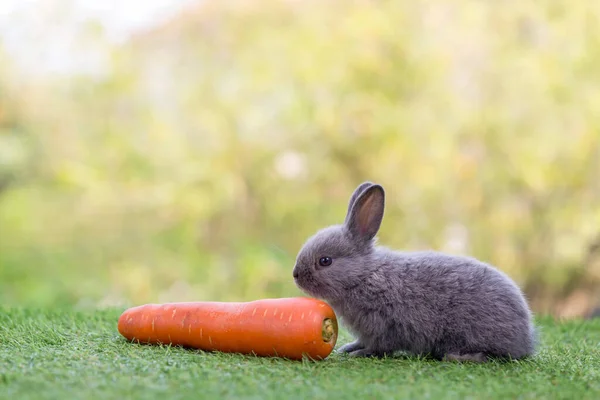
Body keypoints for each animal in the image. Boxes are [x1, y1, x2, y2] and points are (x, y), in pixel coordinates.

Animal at [292, 182, 536, 362]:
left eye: (325, 261)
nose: (296, 275)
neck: (364, 275)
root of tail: (526, 340)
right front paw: (350, 348)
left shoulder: (383, 325)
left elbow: (380, 347)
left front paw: (360, 353)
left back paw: (459, 357)